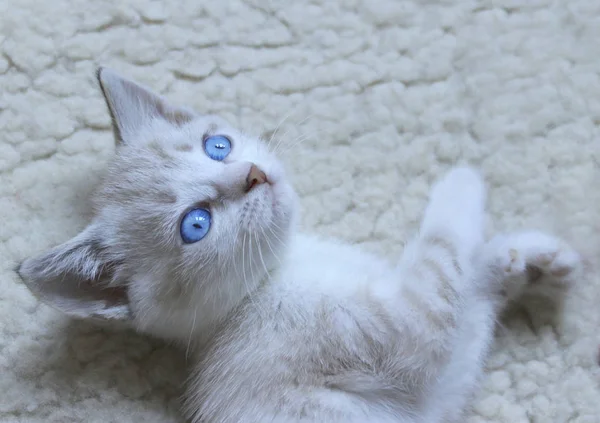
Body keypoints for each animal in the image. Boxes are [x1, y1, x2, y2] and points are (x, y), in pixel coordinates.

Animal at [17, 69, 580, 423]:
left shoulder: (438, 396)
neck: (280, 274)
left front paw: (527, 256)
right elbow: (442, 255)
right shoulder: (401, 328)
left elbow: (469, 320)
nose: (253, 174)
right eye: (196, 224)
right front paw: (460, 181)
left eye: (216, 146)